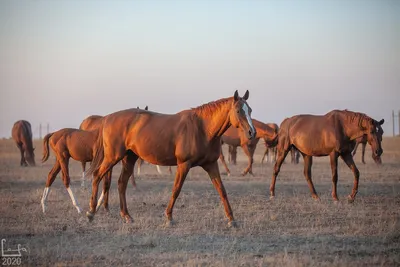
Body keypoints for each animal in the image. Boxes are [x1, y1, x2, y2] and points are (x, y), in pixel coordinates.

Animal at [86, 90, 258, 228]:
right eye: (238, 110)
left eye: (250, 110)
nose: (252, 132)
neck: (202, 129)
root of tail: (107, 118)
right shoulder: (184, 165)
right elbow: (176, 189)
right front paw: (169, 218)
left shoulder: (211, 165)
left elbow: (222, 190)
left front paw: (232, 219)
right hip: (113, 157)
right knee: (97, 176)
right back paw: (91, 213)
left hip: (129, 158)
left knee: (122, 183)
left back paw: (126, 216)